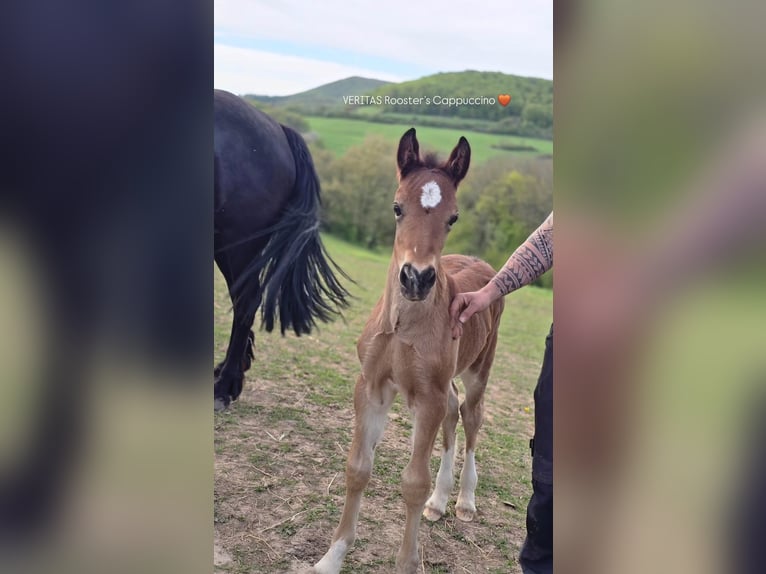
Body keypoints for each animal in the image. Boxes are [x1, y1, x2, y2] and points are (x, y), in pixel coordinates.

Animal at [313, 129, 505, 574]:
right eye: (397, 207)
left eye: (453, 217)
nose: (416, 279)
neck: (403, 326)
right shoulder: (371, 386)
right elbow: (358, 468)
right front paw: (332, 557)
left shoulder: (426, 398)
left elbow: (413, 483)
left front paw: (406, 561)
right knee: (454, 412)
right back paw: (440, 502)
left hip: (479, 369)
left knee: (470, 416)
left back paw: (464, 501)